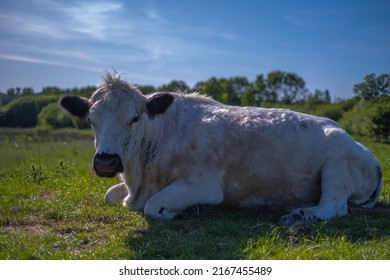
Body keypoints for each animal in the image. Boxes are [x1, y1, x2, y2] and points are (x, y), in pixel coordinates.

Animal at [59, 72, 382, 225]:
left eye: (134, 118)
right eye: (90, 120)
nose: (106, 162)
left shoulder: (204, 185)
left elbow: (154, 207)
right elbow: (109, 194)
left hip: (337, 165)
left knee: (333, 207)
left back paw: (299, 215)